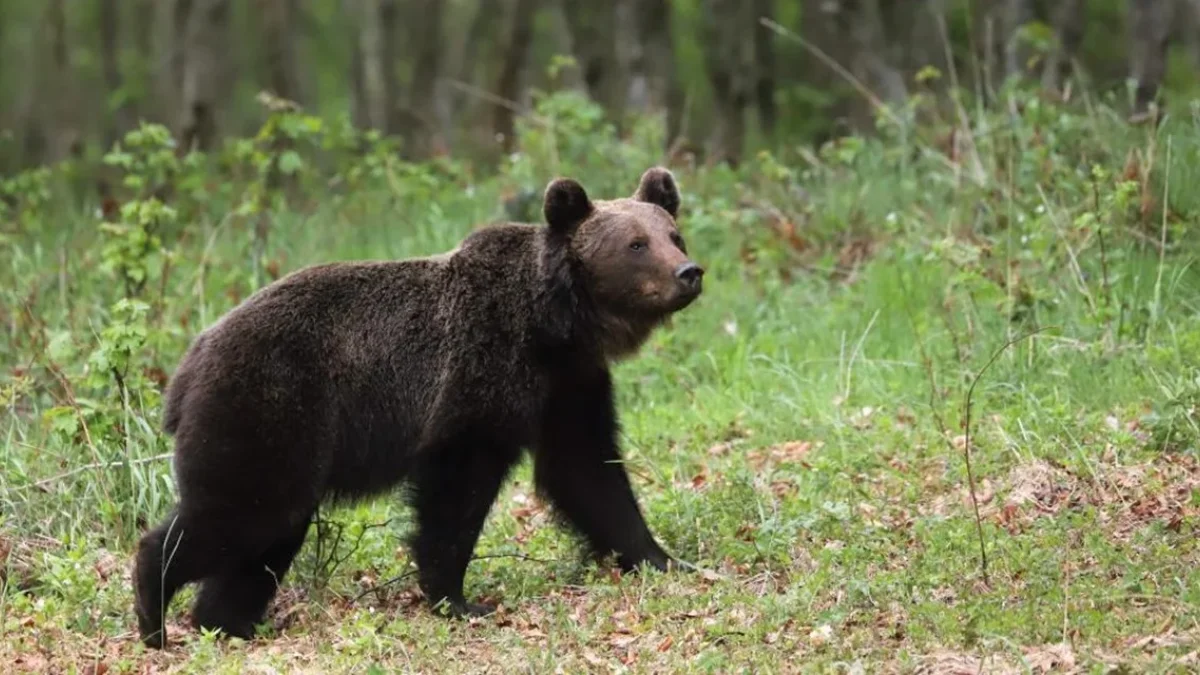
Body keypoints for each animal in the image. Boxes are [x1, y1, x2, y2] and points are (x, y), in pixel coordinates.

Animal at [133, 164, 700, 648]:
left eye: (672, 234)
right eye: (636, 244)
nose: (688, 272)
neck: (555, 323)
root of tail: (188, 364)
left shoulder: (568, 385)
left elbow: (589, 473)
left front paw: (663, 559)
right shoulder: (479, 376)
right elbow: (456, 490)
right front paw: (458, 598)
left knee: (267, 534)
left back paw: (229, 621)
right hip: (267, 405)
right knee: (238, 511)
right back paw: (153, 609)